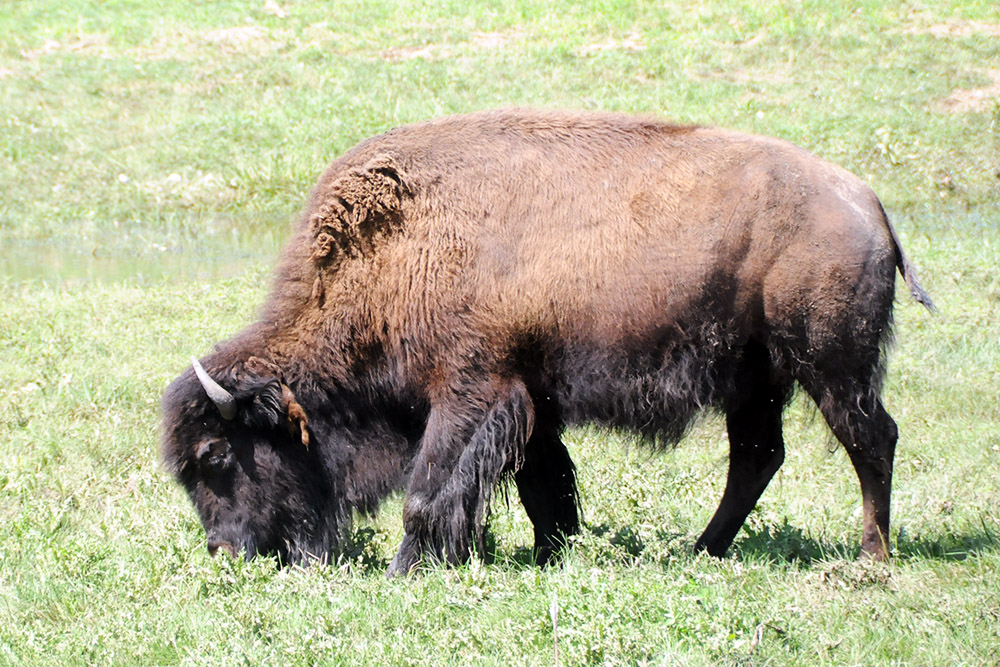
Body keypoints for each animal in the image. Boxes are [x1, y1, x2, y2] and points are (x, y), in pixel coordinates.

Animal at [161, 108, 932, 575]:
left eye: (217, 454)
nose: (223, 549)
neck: (398, 245)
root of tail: (868, 204)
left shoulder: (471, 392)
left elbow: (429, 489)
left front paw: (407, 566)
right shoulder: (530, 402)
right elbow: (544, 484)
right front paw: (549, 550)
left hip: (832, 365)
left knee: (872, 440)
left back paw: (873, 555)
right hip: (756, 379)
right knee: (757, 457)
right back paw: (701, 550)